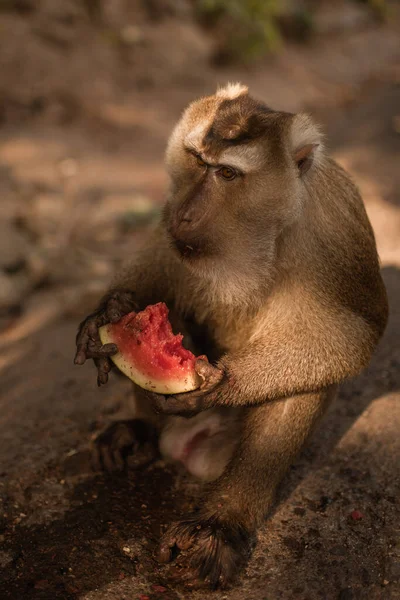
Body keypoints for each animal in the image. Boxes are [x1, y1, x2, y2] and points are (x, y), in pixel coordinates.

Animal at [74, 82, 388, 588]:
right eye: (196, 159)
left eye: (226, 173)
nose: (186, 213)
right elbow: (159, 261)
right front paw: (112, 310)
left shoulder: (337, 221)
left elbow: (355, 331)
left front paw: (219, 383)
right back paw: (142, 430)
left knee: (305, 377)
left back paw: (221, 522)